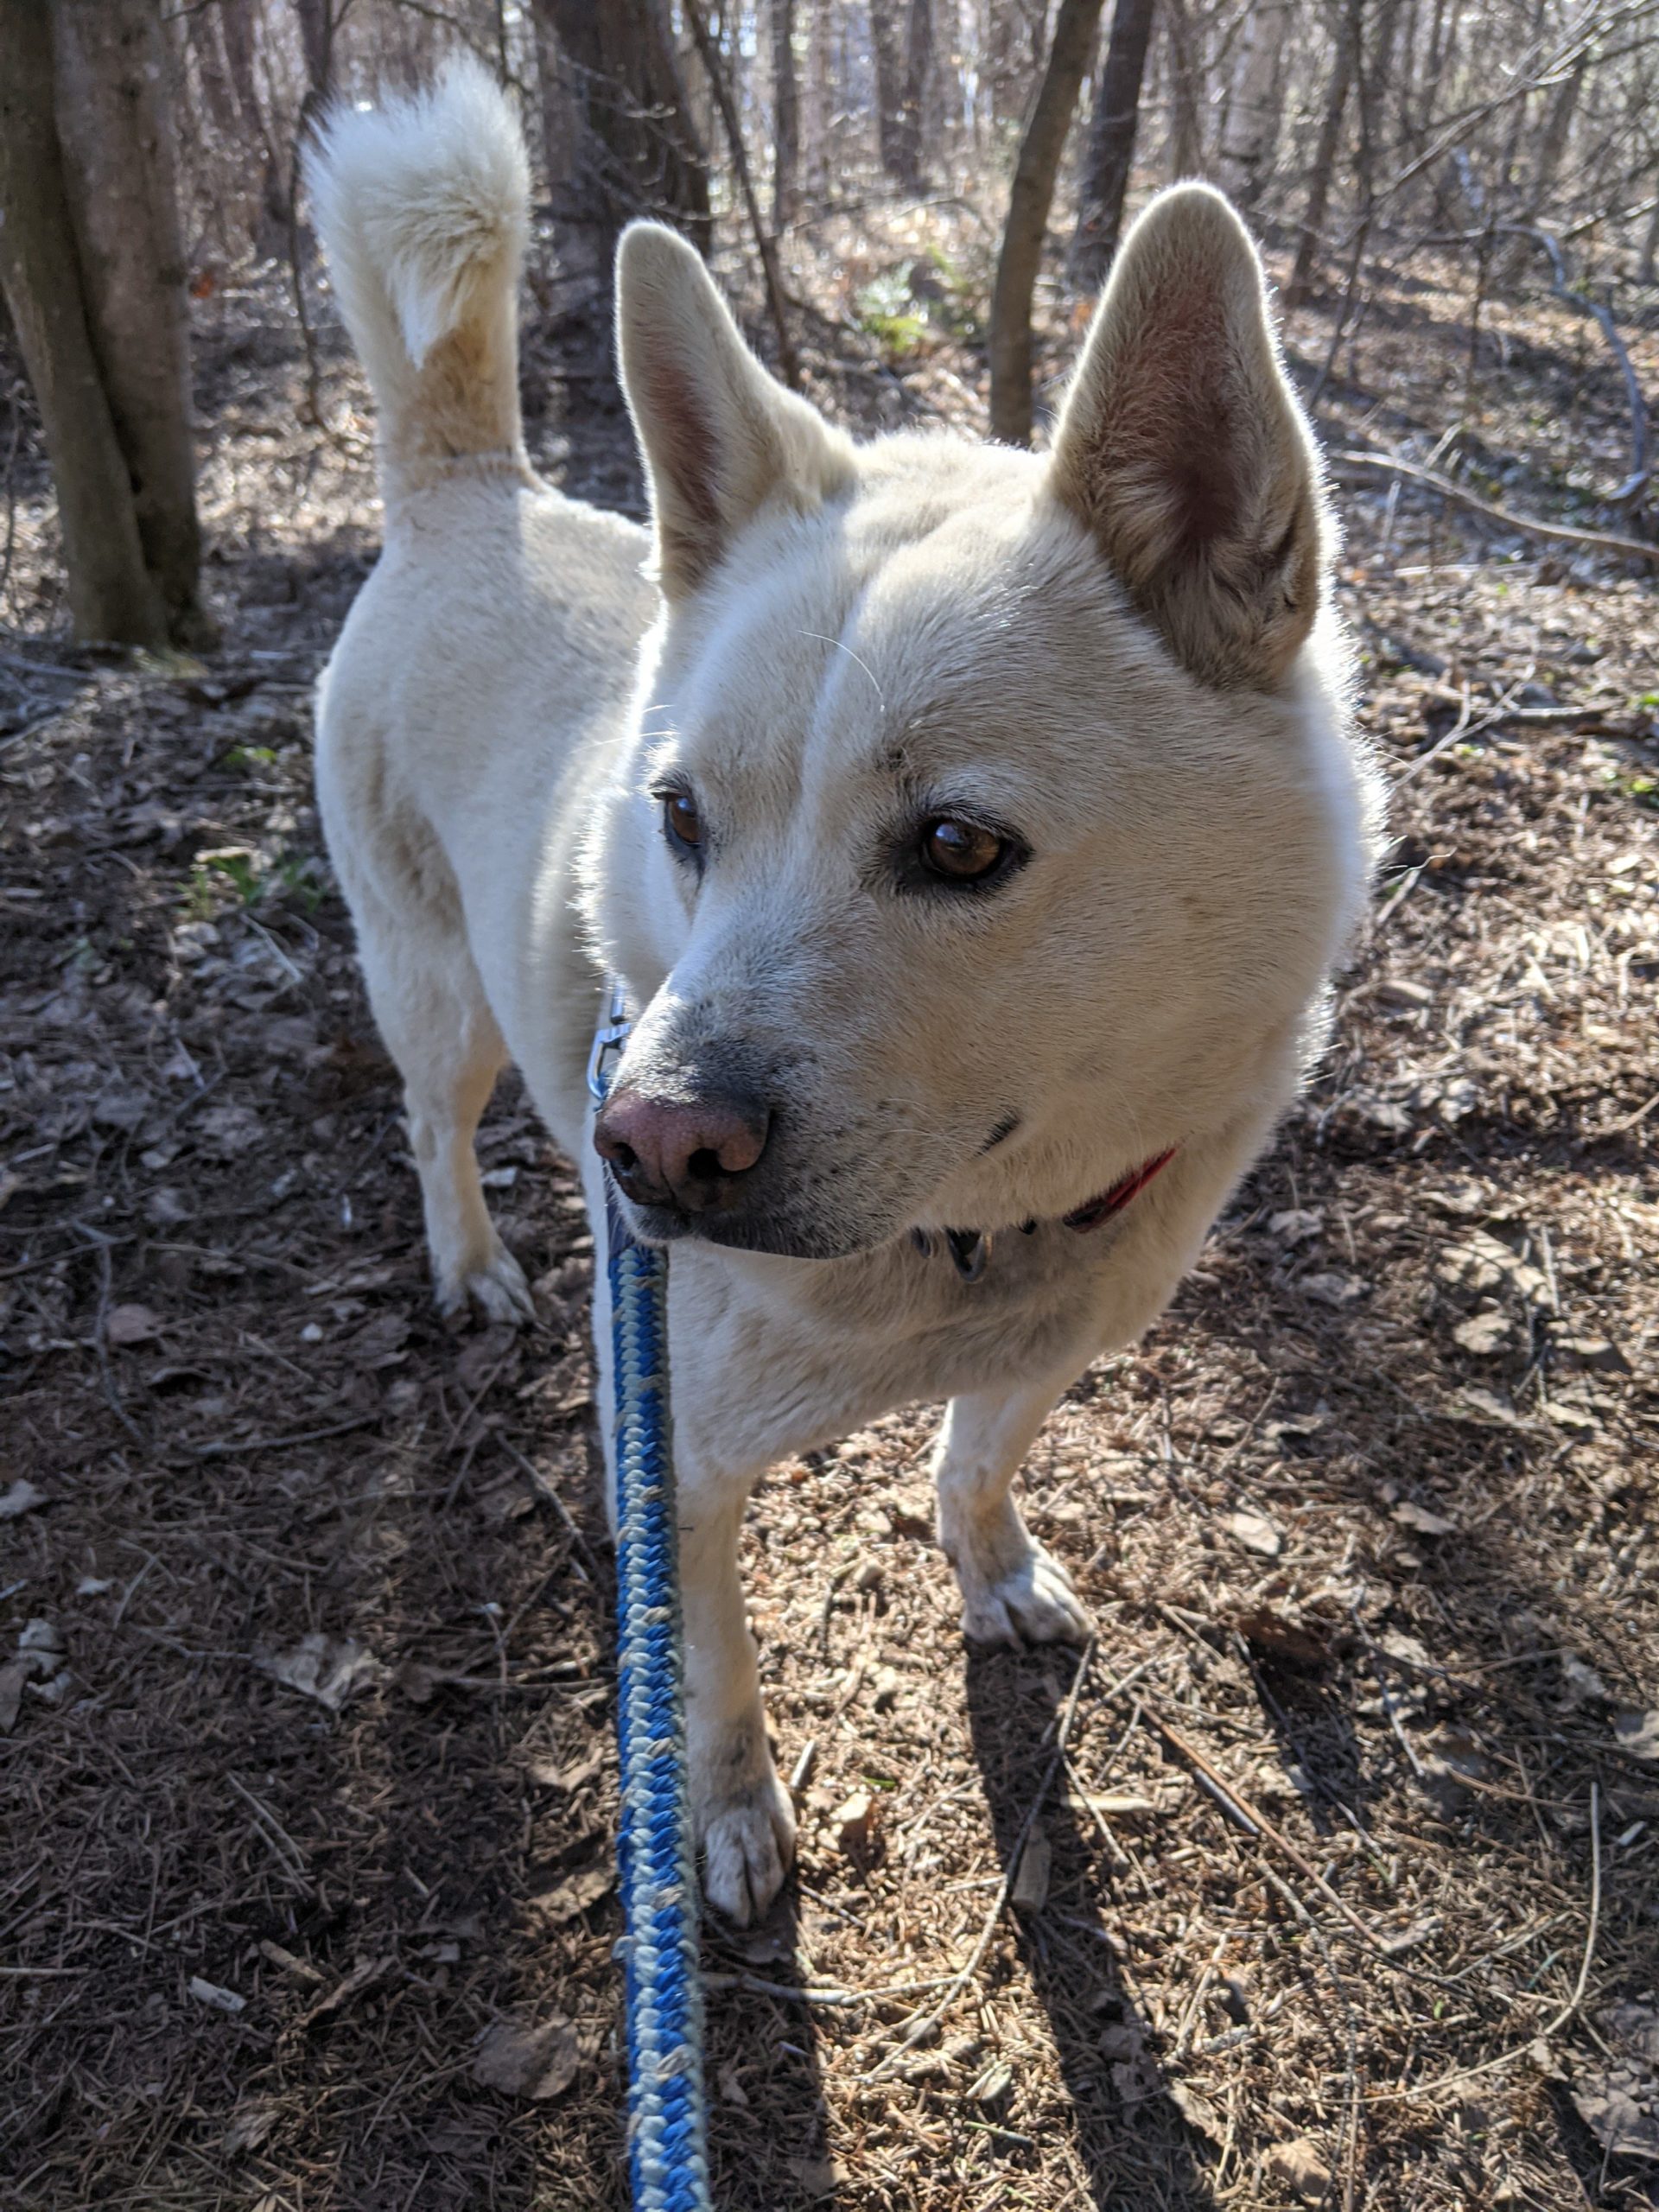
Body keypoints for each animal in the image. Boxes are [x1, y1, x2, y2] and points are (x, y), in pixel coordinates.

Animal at [308, 61, 1378, 1925]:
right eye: (680, 819)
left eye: (955, 844)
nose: (649, 1147)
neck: (970, 1246)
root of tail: (468, 484)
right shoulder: (691, 1461)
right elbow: (716, 1667)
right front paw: (729, 1818)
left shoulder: (1060, 1335)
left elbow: (982, 1452)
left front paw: (991, 1562)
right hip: (433, 991)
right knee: (433, 1128)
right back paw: (476, 1262)